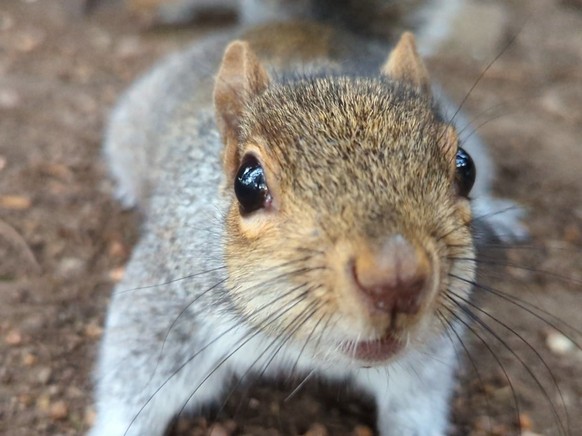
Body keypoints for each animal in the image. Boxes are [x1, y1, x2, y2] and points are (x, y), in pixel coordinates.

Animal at [91, 1, 528, 434]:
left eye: (465, 168)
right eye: (247, 184)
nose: (397, 278)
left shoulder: (424, 355)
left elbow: (417, 403)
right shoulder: (167, 302)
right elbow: (132, 382)